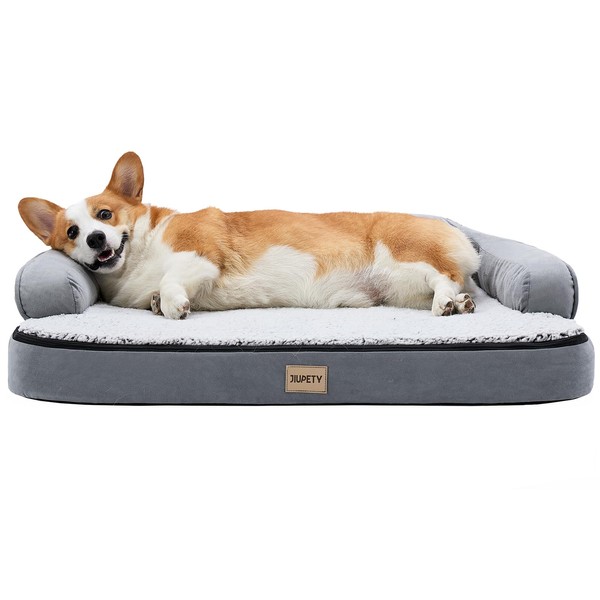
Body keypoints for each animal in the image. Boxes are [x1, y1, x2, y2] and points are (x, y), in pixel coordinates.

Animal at [18, 152, 480, 319]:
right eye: (72, 232)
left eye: (105, 214)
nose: (96, 240)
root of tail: (459, 235)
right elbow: (156, 294)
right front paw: (157, 303)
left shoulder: (198, 253)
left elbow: (171, 282)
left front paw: (173, 304)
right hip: (400, 290)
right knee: (451, 283)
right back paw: (459, 303)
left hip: (405, 255)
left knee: (443, 276)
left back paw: (446, 303)